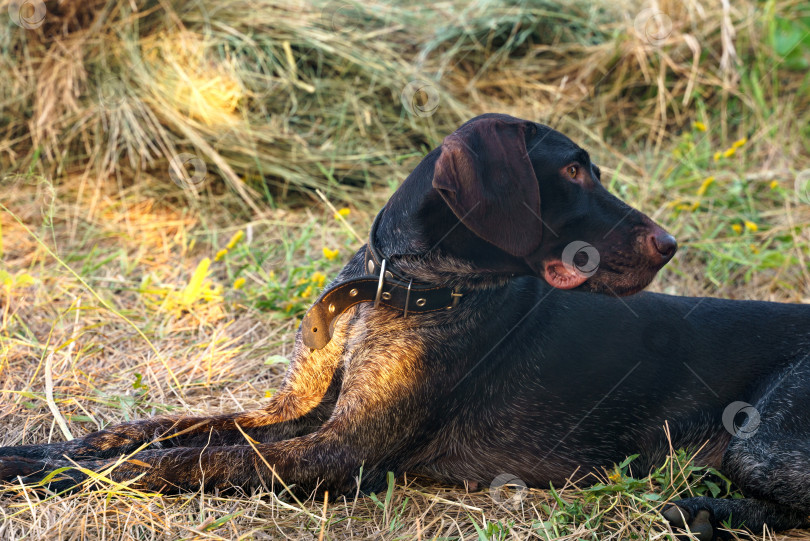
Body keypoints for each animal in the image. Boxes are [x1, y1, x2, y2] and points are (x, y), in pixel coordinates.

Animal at [1, 112, 808, 536]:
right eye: (575, 171)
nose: (670, 244)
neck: (395, 289)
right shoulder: (298, 410)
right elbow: (151, 430)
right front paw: (35, 453)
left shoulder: (339, 452)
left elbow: (177, 461)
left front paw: (61, 476)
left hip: (761, 437)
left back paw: (703, 506)